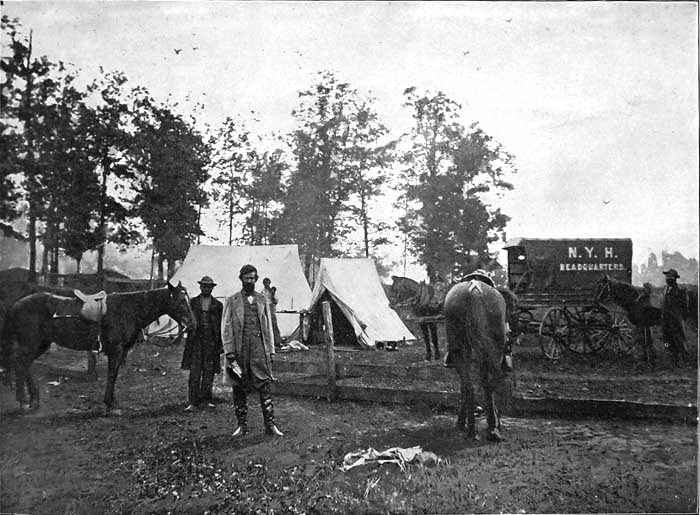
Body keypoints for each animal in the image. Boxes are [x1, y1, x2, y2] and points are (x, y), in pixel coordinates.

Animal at [0, 282, 196, 416]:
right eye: (180, 301)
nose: (193, 324)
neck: (129, 310)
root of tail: (16, 305)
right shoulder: (116, 351)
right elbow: (112, 375)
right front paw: (111, 405)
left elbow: (113, 376)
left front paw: (112, 403)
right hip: (31, 343)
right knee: (20, 364)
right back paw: (25, 401)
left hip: (41, 344)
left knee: (23, 364)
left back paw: (32, 400)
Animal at [446, 278, 512, 444]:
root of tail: (474, 287)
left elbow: (465, 386)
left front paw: (461, 421)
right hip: (493, 350)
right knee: (489, 384)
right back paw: (492, 427)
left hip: (459, 351)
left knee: (470, 386)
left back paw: (472, 429)